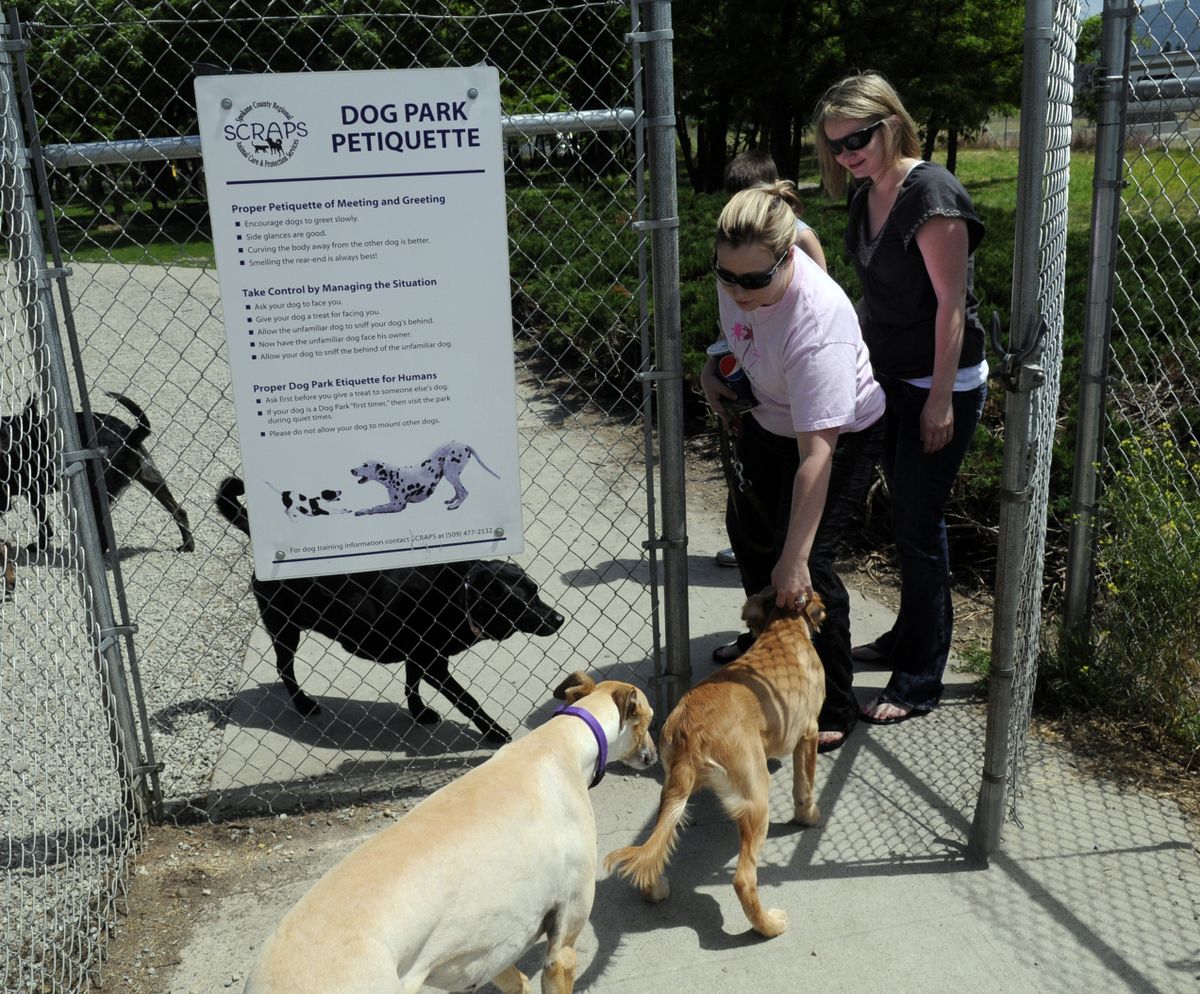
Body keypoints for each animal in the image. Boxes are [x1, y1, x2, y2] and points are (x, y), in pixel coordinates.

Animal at [0, 391, 194, 554]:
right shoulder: (32, 492)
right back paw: (187, 545)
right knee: (179, 511)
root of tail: (130, 436)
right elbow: (43, 523)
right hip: (151, 478)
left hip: (98, 493)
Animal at [217, 475, 566, 744]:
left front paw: (419, 712)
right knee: (284, 667)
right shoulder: (434, 664)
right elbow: (467, 699)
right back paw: (303, 704)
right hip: (284, 627)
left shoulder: (418, 656)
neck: (461, 595)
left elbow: (411, 684)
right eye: (524, 601)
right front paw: (493, 731)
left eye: (537, 592)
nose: (559, 618)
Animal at [243, 667, 657, 994]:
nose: (654, 756)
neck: (562, 743)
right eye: (650, 719)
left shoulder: (488, 950)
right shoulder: (562, 946)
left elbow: (512, 978)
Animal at [609, 590, 825, 941]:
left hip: (671, 791)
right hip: (755, 796)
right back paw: (769, 926)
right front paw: (808, 817)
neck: (783, 628)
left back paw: (655, 889)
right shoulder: (810, 731)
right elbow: (804, 784)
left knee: (655, 846)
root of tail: (690, 732)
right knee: (743, 879)